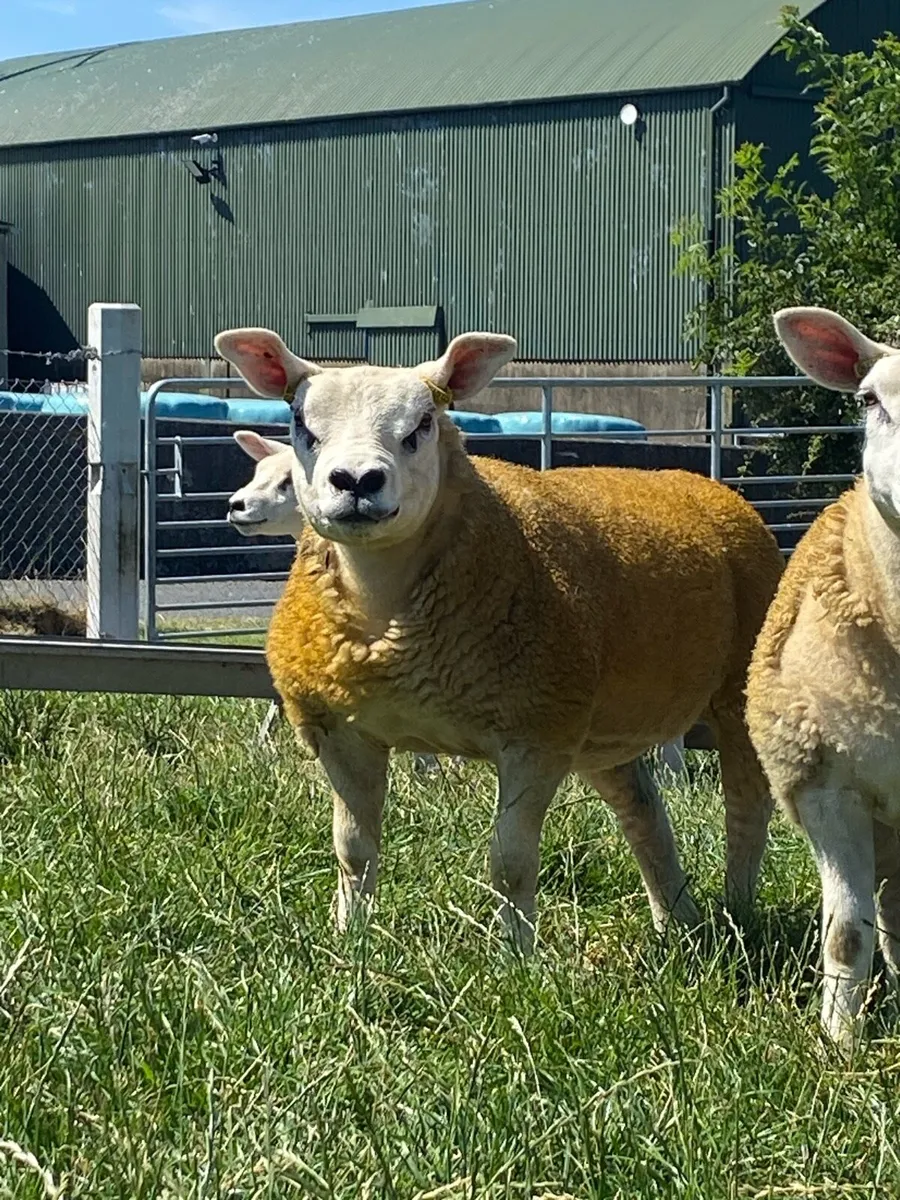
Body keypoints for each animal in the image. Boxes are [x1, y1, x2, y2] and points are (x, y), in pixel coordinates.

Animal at [214, 325, 783, 951]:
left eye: (422, 425)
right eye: (301, 424)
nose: (357, 482)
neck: (382, 605)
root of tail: (704, 484)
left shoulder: (535, 736)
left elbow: (509, 862)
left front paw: (516, 957)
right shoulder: (342, 730)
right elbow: (353, 851)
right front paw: (349, 944)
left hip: (738, 691)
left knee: (747, 807)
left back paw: (739, 911)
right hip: (601, 727)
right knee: (643, 812)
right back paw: (677, 921)